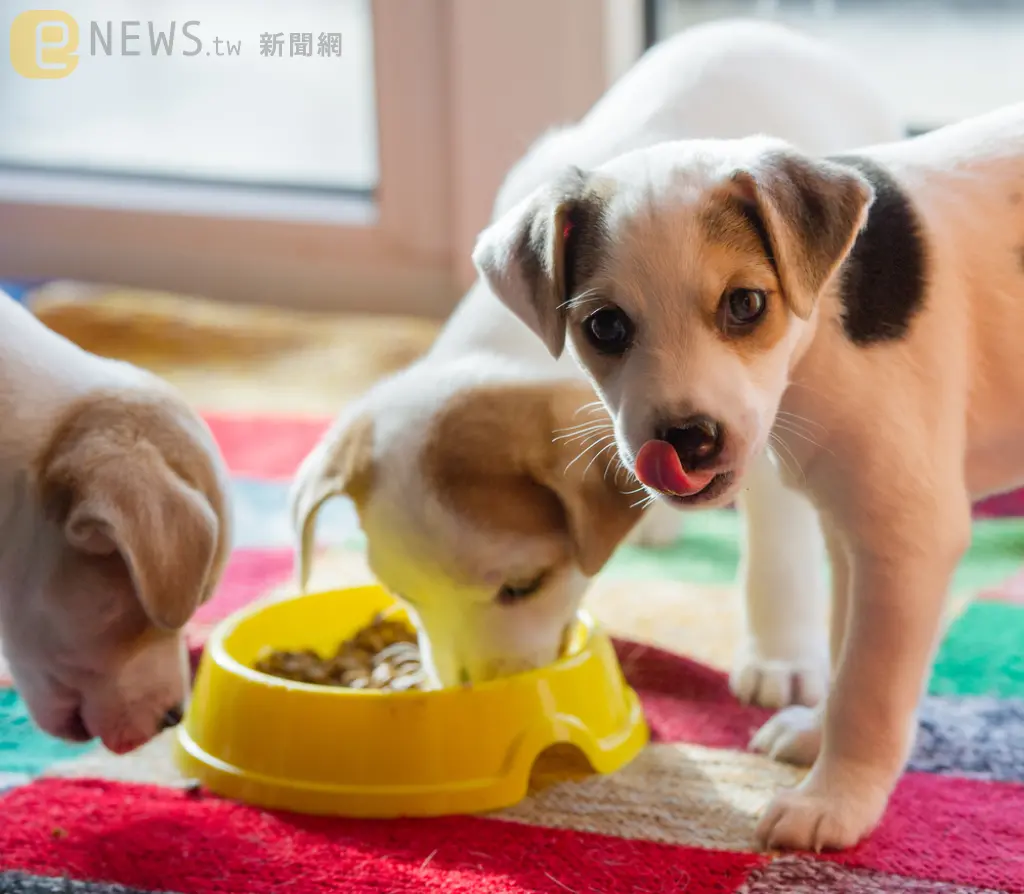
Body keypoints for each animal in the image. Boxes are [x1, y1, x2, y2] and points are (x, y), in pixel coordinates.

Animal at [292, 19, 901, 692]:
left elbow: (780, 549)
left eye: (523, 586)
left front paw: (781, 660)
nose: (470, 690)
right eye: (405, 596)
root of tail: (760, 28)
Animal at [475, 101, 1024, 847]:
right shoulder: (852, 529)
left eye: (746, 305)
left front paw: (835, 800)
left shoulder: (908, 539)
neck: (823, 330)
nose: (687, 440)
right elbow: (843, 649)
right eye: (605, 326)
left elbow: (867, 690)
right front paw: (815, 737)